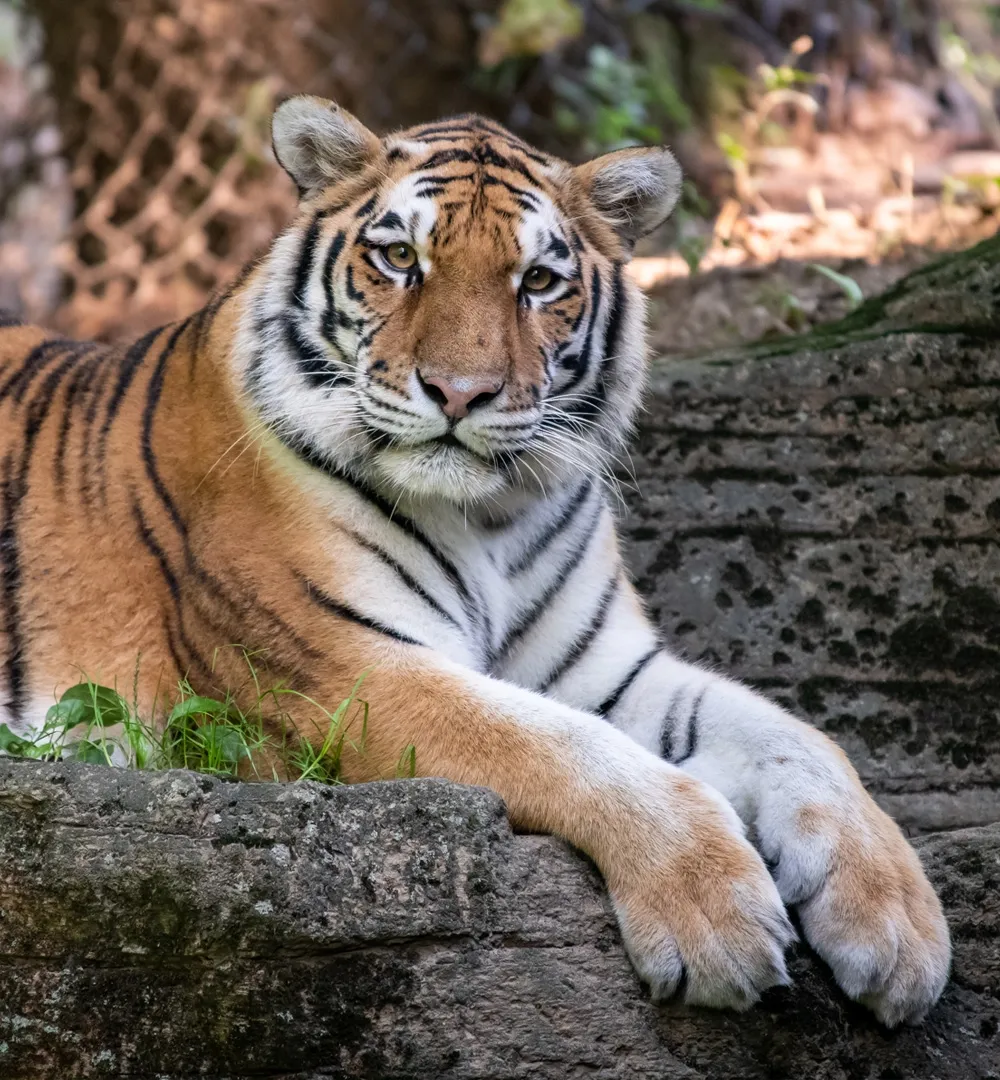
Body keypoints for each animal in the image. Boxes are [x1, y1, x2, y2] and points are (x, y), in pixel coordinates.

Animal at [0, 92, 950, 1019]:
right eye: (399, 258)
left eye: (538, 281)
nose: (459, 393)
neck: (493, 515)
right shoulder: (346, 673)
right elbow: (562, 747)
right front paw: (715, 910)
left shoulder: (610, 669)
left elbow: (800, 737)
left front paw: (899, 924)